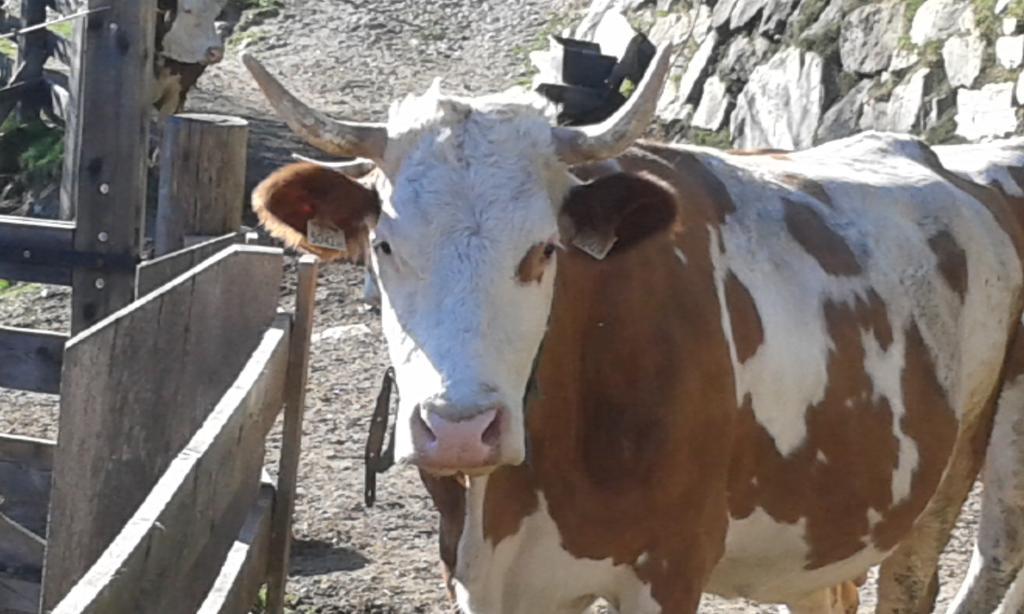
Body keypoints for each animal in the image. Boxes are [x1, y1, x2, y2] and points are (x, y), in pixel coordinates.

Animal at [241, 44, 1024, 614]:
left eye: (543, 250)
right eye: (384, 246)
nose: (460, 431)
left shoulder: (670, 566)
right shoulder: (477, 571)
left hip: (978, 464)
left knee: (970, 565)